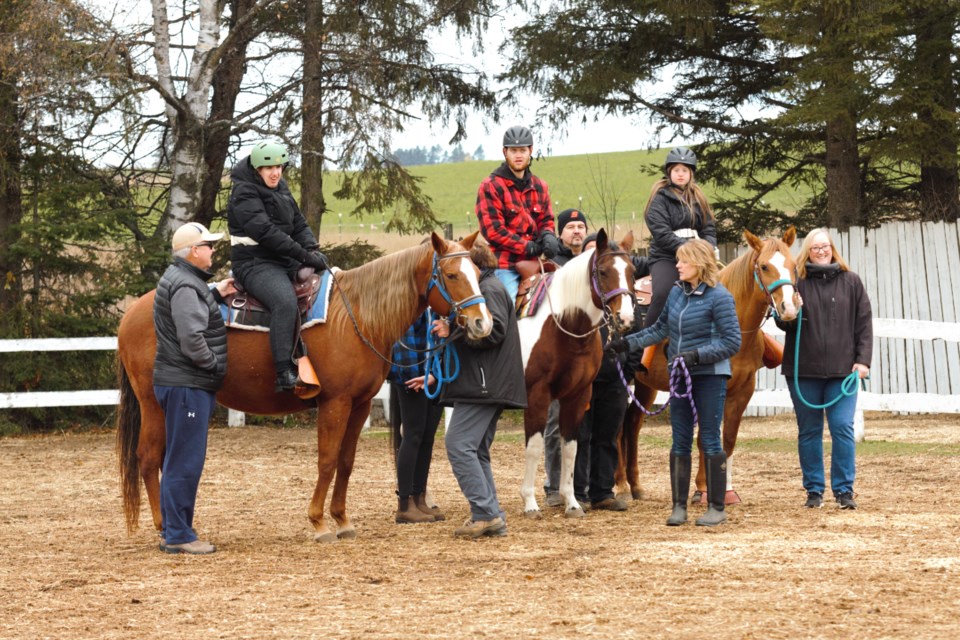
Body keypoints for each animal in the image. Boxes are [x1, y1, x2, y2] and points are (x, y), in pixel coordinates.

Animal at [116, 232, 492, 544]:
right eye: (452, 275)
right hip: (154, 402)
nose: (482, 323)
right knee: (149, 458)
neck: (356, 316)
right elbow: (326, 461)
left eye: (476, 271)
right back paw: (164, 526)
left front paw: (342, 520)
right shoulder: (334, 403)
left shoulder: (359, 405)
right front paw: (319, 523)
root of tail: (132, 312)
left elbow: (346, 462)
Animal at [516, 228, 636, 516]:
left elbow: (571, 447)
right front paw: (530, 503)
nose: (625, 318)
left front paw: (571, 502)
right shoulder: (536, 396)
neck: (565, 324)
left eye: (633, 271)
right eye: (602, 271)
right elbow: (535, 447)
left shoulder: (578, 395)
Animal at [616, 228, 804, 502]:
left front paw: (726, 490)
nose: (789, 308)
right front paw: (703, 488)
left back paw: (636, 486)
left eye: (793, 266)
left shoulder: (743, 390)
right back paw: (619, 486)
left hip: (645, 386)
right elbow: (705, 438)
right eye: (764, 266)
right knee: (616, 427)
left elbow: (728, 439)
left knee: (631, 425)